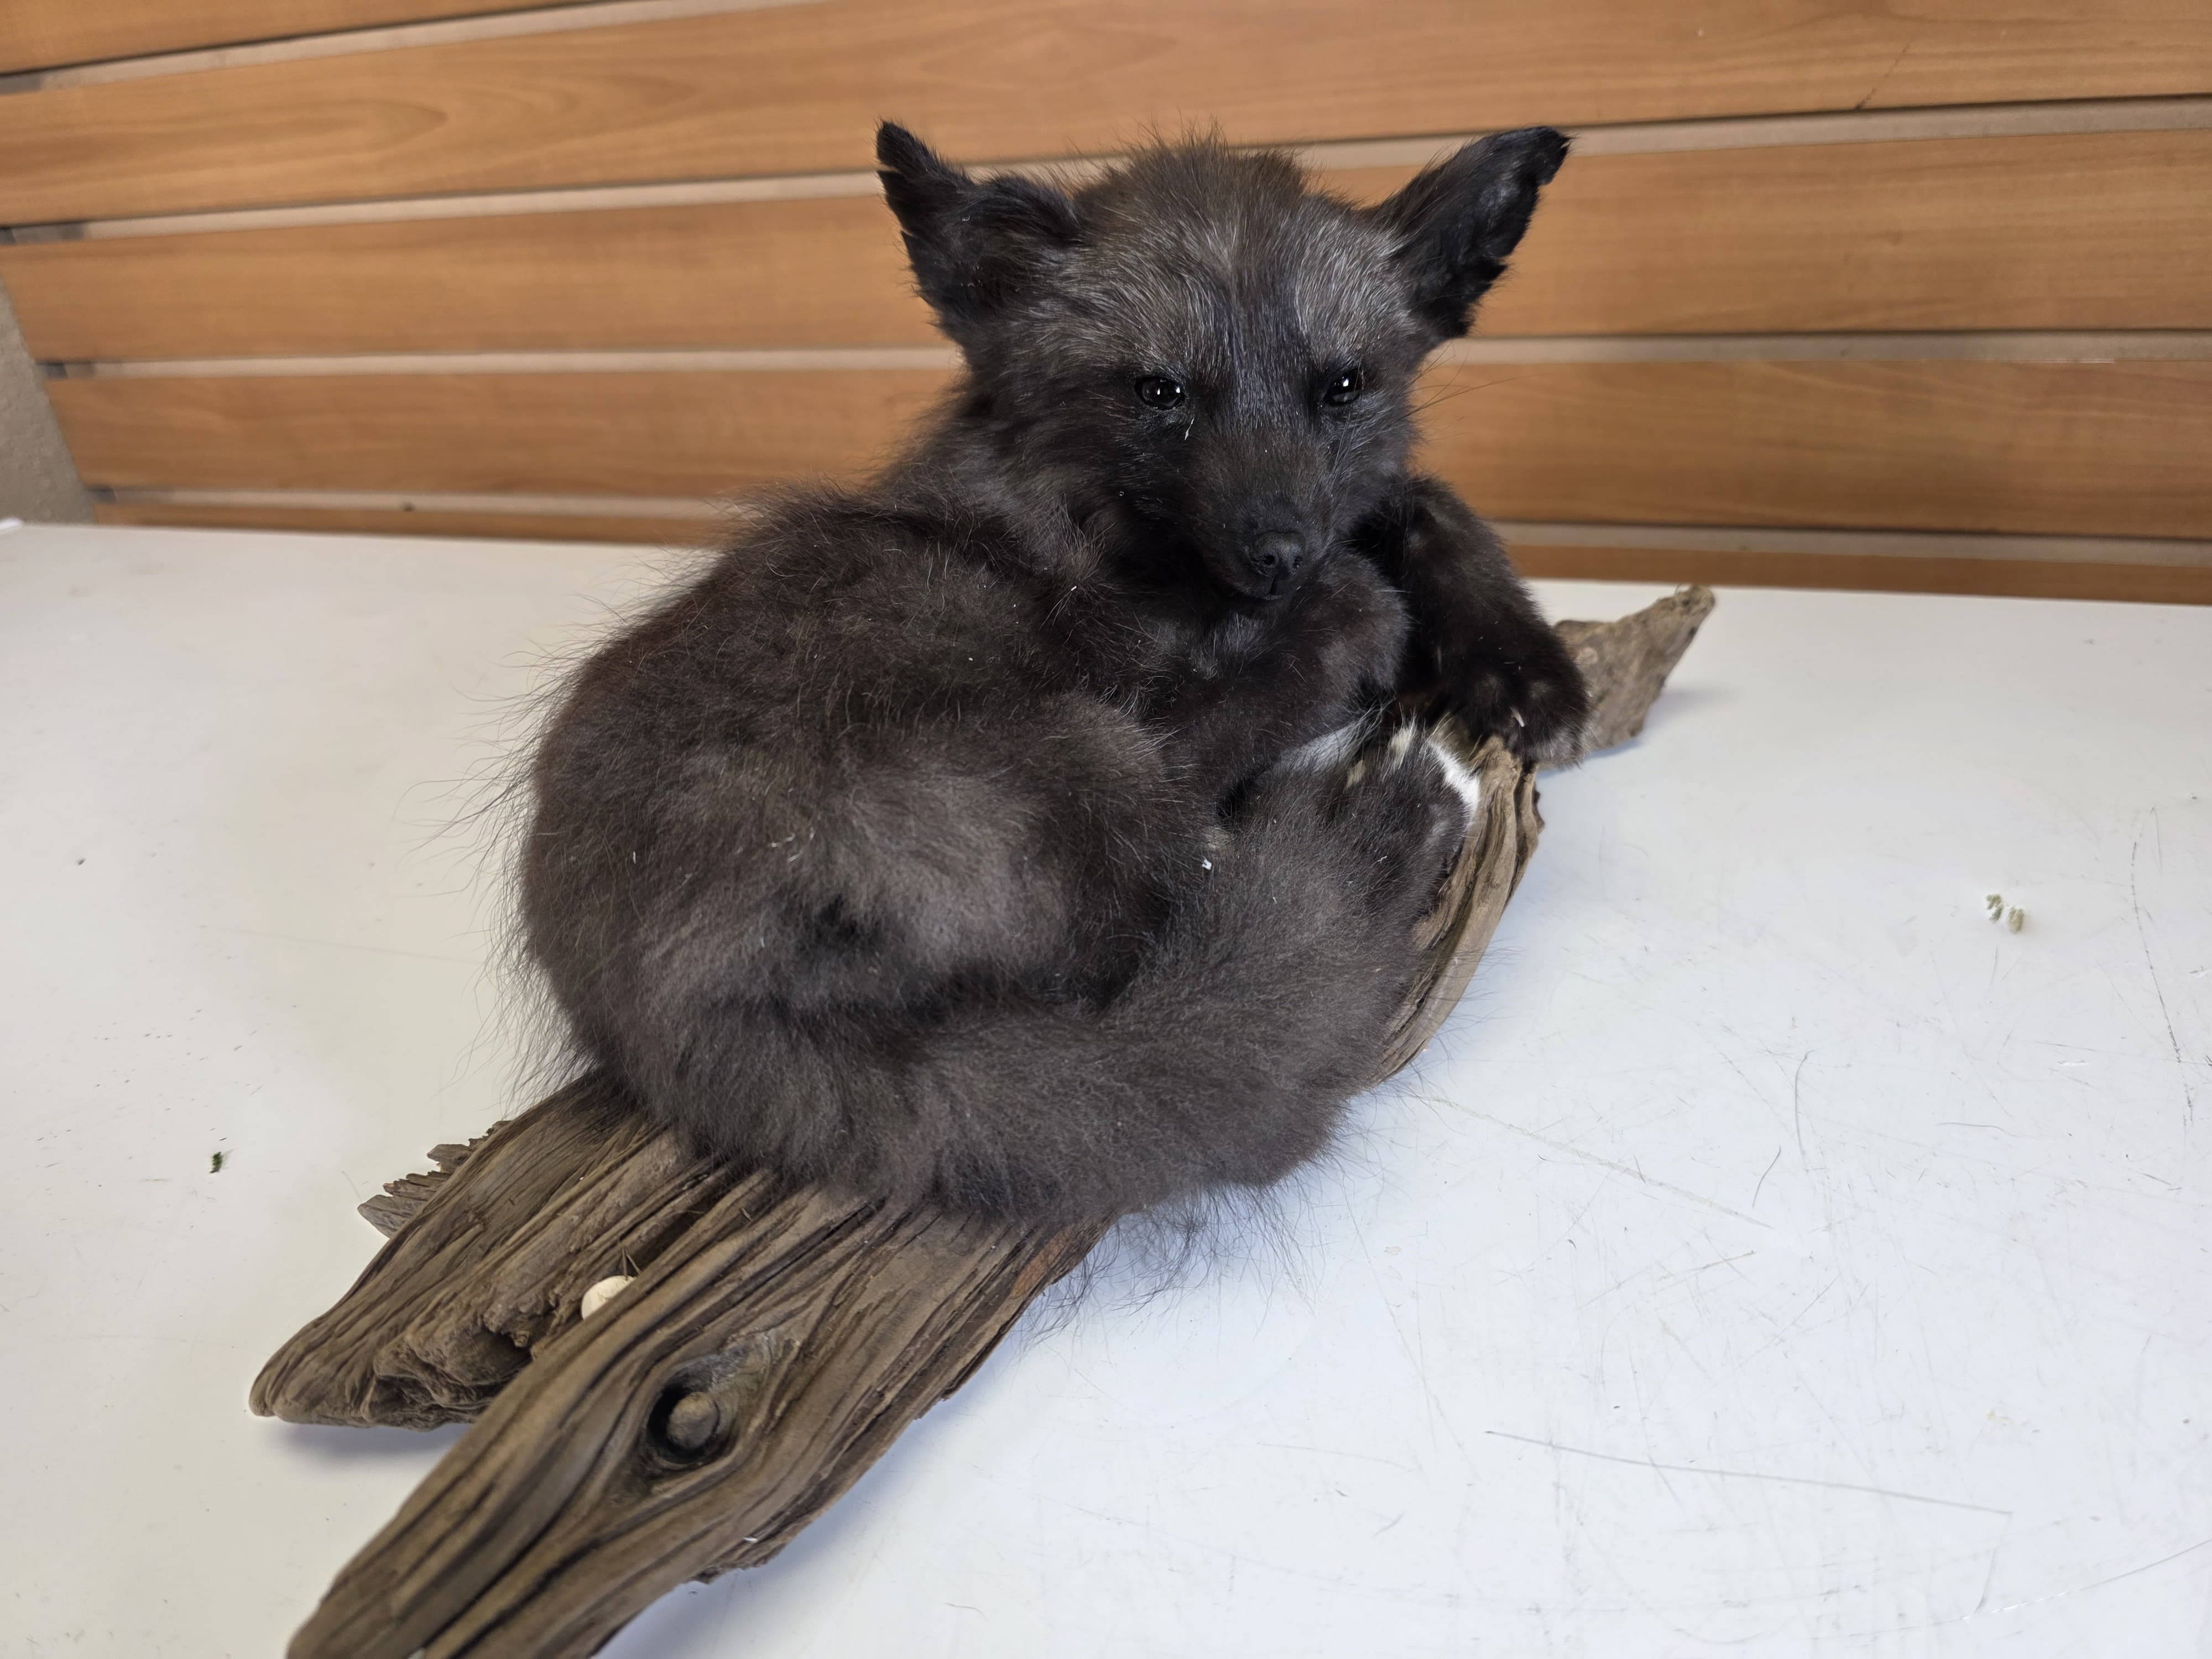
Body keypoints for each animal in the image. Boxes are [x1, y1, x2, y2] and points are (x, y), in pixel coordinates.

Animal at [518, 121, 1589, 1225]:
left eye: (1342, 386)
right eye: (1159, 391)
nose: (1278, 553)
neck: (1091, 515)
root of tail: (670, 1017)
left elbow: (1425, 503)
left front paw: (1524, 670)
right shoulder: (1153, 684)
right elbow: (1339, 620)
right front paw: (1382, 629)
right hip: (1095, 748)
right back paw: (1375, 814)